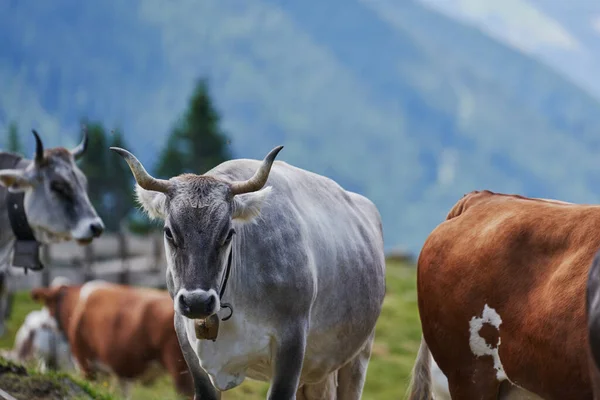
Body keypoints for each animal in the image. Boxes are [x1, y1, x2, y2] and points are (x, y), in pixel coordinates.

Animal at [29, 280, 192, 398]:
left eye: (47, 305)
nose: (42, 323)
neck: (76, 305)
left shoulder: (85, 363)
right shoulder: (120, 372)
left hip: (180, 370)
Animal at [111, 145, 384, 400]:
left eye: (227, 233)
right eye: (169, 232)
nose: (197, 302)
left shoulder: (292, 341)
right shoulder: (187, 342)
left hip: (358, 355)